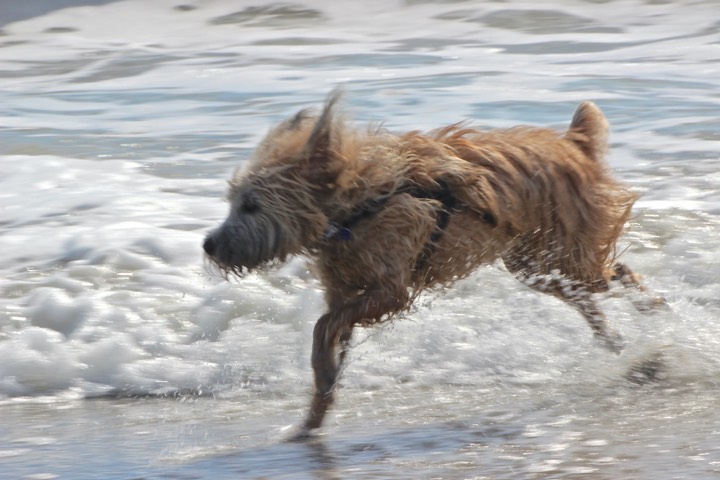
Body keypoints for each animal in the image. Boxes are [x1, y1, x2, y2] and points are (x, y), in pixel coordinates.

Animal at [201, 90, 660, 436]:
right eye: (235, 201)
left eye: (251, 205)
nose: (208, 244)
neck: (352, 208)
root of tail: (571, 143)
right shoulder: (346, 290)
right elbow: (327, 335)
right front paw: (315, 412)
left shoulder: (390, 290)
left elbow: (323, 325)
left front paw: (322, 386)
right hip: (535, 265)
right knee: (586, 296)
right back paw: (615, 340)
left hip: (564, 253)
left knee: (615, 274)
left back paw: (651, 309)